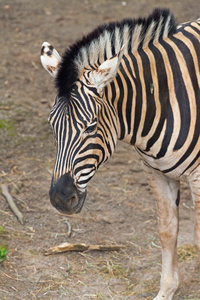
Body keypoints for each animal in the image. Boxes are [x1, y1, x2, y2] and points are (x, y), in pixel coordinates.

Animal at [40, 8, 200, 300]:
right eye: (52, 125)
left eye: (90, 126)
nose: (60, 199)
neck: (161, 99)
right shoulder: (155, 171)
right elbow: (167, 230)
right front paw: (166, 291)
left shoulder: (198, 175)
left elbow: (197, 239)